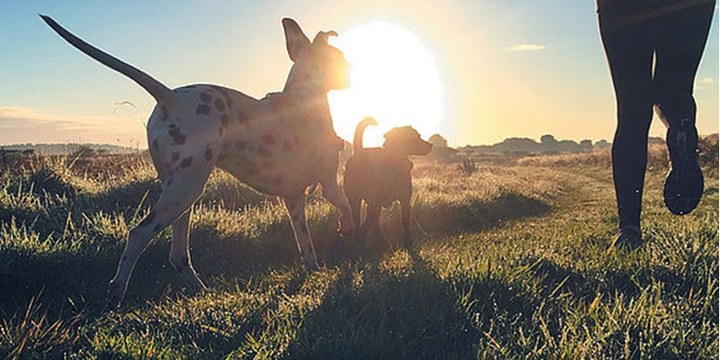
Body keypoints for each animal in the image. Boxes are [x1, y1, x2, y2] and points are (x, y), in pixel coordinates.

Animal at [41, 15, 354, 306]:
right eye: (340, 58)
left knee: (178, 254)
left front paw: (314, 269)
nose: (351, 72)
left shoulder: (293, 198)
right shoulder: (329, 184)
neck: (305, 96)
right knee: (138, 235)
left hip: (181, 193)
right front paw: (348, 230)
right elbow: (347, 207)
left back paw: (201, 290)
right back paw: (118, 290)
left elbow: (306, 244)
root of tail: (170, 97)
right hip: (185, 190)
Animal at [344, 117, 434, 245]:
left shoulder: (403, 200)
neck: (393, 158)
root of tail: (358, 152)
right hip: (364, 202)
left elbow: (404, 222)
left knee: (366, 223)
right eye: (416, 136)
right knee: (362, 224)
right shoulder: (391, 201)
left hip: (365, 203)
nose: (431, 145)